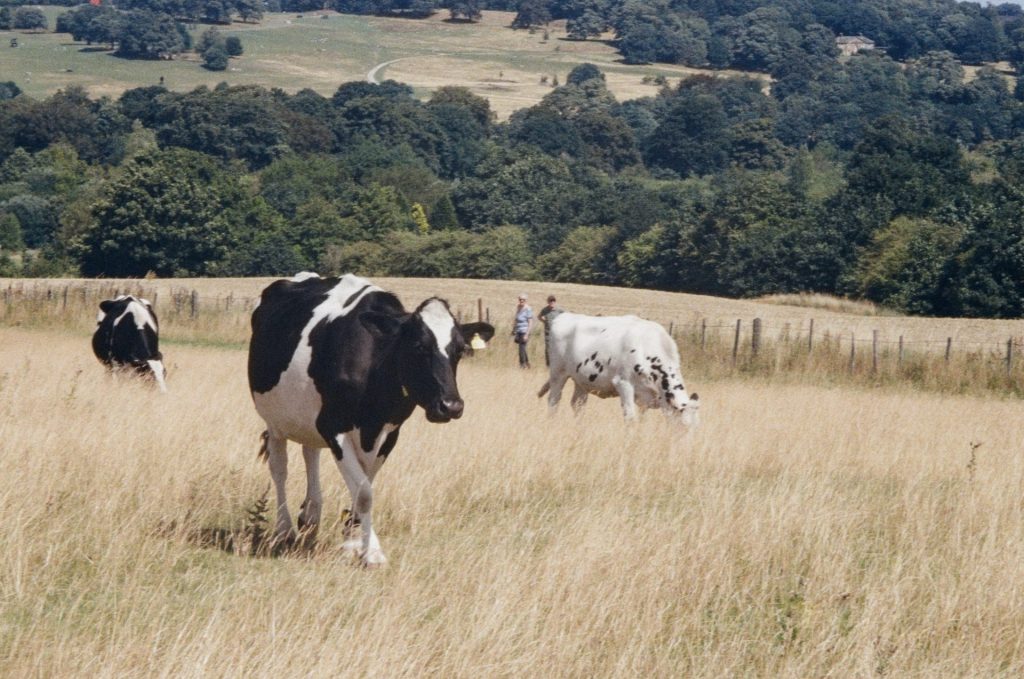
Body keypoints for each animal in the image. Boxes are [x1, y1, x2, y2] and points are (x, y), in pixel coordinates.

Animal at [248, 272, 494, 567]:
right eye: (418, 346)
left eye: (459, 350)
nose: (451, 406)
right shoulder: (334, 427)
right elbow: (364, 492)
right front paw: (372, 553)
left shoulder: (389, 432)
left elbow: (364, 483)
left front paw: (354, 542)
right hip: (274, 420)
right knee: (279, 469)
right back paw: (284, 530)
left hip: (307, 417)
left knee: (310, 454)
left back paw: (310, 518)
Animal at [537, 312, 699, 425]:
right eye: (684, 426)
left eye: (695, 427)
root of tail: (564, 316)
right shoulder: (623, 384)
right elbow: (630, 418)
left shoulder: (646, 397)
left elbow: (642, 420)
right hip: (558, 373)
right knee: (554, 400)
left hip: (581, 379)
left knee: (578, 404)